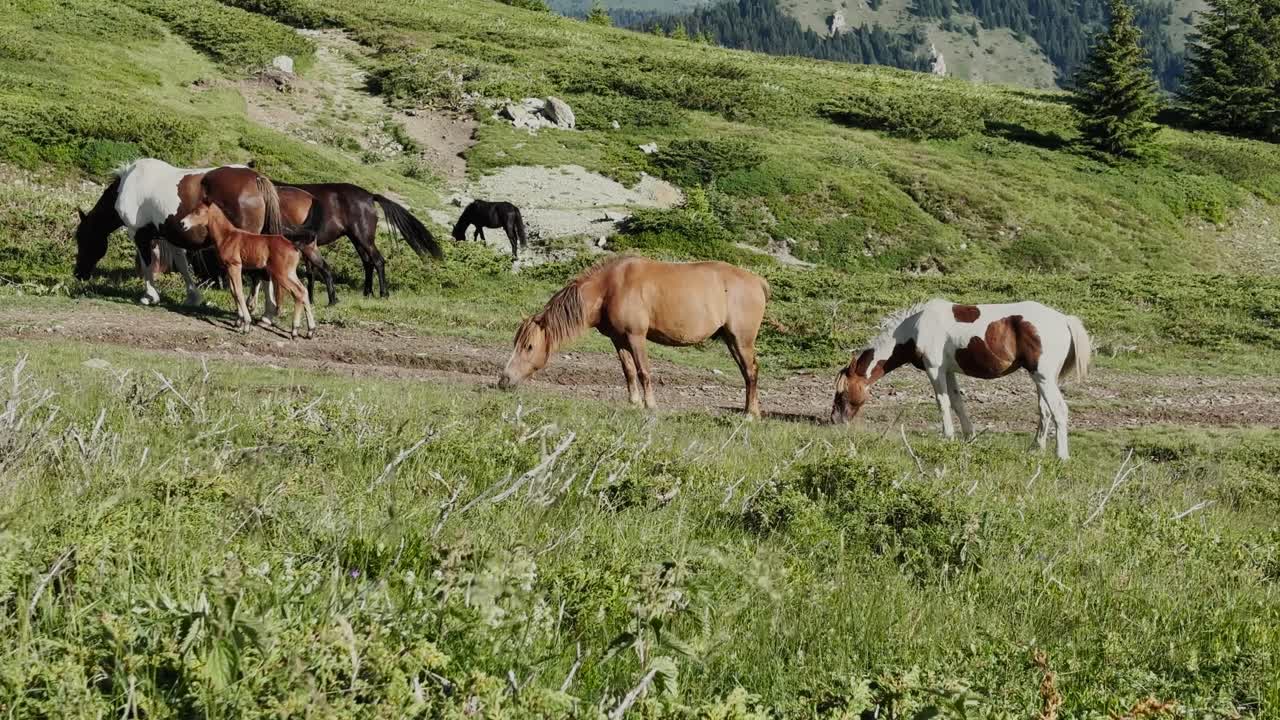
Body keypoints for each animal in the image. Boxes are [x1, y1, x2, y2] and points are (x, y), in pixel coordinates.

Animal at [73, 158, 289, 306]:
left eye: (82, 239)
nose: (78, 273)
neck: (129, 184)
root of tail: (256, 178)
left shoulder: (139, 234)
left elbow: (147, 264)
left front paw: (150, 296)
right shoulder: (172, 237)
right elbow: (182, 265)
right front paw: (193, 296)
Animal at [179, 201, 315, 338]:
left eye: (198, 212)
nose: (182, 223)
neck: (227, 236)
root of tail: (294, 247)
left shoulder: (235, 266)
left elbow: (239, 292)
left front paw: (246, 325)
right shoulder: (228, 268)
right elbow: (233, 292)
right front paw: (239, 321)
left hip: (281, 274)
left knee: (298, 292)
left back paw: (295, 330)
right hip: (290, 273)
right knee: (304, 291)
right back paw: (310, 330)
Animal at [499, 255, 769, 418]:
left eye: (529, 346)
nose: (504, 380)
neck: (610, 287)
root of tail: (758, 281)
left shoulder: (636, 336)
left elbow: (643, 371)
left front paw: (650, 405)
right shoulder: (619, 340)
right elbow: (628, 371)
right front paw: (634, 402)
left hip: (742, 340)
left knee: (751, 372)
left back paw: (750, 414)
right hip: (732, 340)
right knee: (748, 373)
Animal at [830, 298, 1091, 460]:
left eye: (841, 393)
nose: (835, 420)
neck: (916, 328)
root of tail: (1064, 320)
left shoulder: (934, 369)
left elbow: (942, 402)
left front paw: (948, 436)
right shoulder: (948, 370)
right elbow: (957, 402)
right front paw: (969, 436)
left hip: (1043, 377)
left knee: (1059, 410)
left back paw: (1061, 456)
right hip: (1042, 379)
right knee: (1045, 410)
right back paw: (1036, 448)